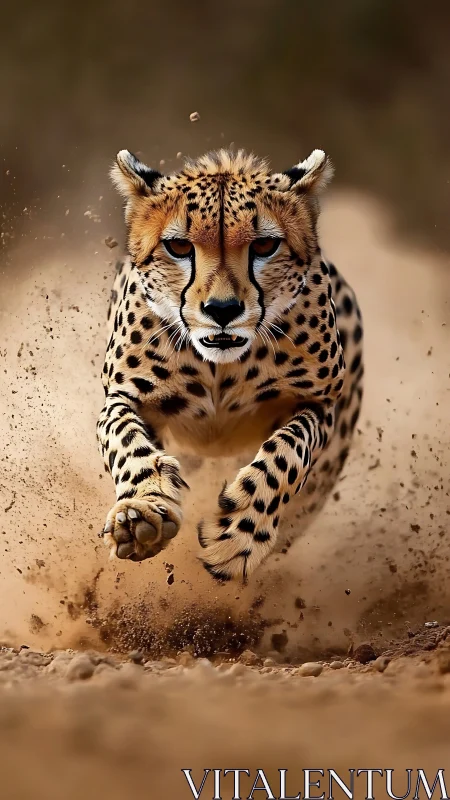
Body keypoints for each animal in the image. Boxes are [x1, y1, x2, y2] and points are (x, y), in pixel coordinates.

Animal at [97, 147, 363, 582]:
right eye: (179, 248)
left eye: (265, 246)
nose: (222, 310)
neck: (218, 366)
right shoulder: (124, 396)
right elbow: (125, 441)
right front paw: (142, 512)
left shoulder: (319, 404)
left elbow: (286, 454)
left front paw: (240, 536)